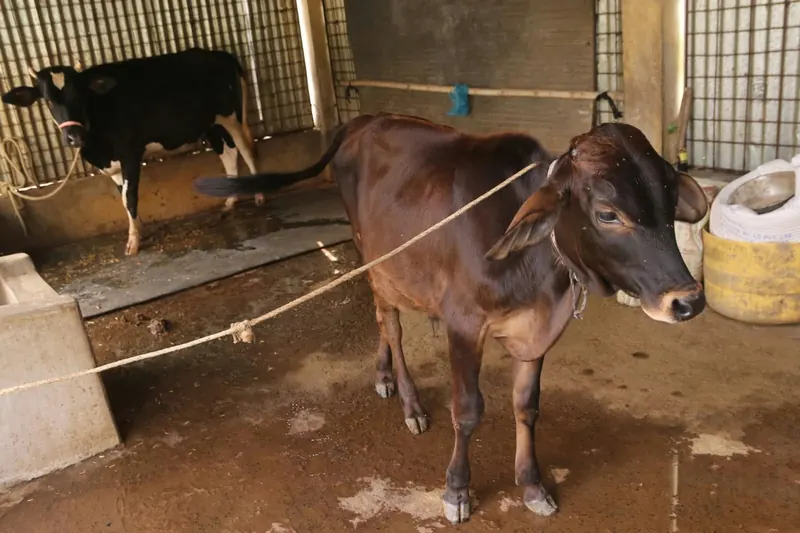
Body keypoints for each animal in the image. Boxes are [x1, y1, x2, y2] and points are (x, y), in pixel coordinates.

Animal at [1, 47, 263, 256]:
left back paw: (259, 196)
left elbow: (130, 197)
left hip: (232, 117)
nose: (74, 137)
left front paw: (133, 243)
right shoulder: (114, 164)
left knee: (247, 150)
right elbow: (123, 198)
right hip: (211, 125)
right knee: (229, 154)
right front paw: (139, 229)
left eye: (80, 96)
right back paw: (229, 201)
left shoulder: (129, 155)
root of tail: (219, 53)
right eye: (47, 100)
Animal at [192, 113, 709, 524]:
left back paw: (383, 376)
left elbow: (527, 405)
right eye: (607, 213)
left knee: (381, 321)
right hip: (373, 257)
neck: (541, 274)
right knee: (391, 325)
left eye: (668, 201)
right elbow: (468, 410)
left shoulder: (537, 333)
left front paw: (533, 485)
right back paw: (410, 403)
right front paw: (457, 490)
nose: (687, 301)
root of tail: (361, 121)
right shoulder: (464, 326)